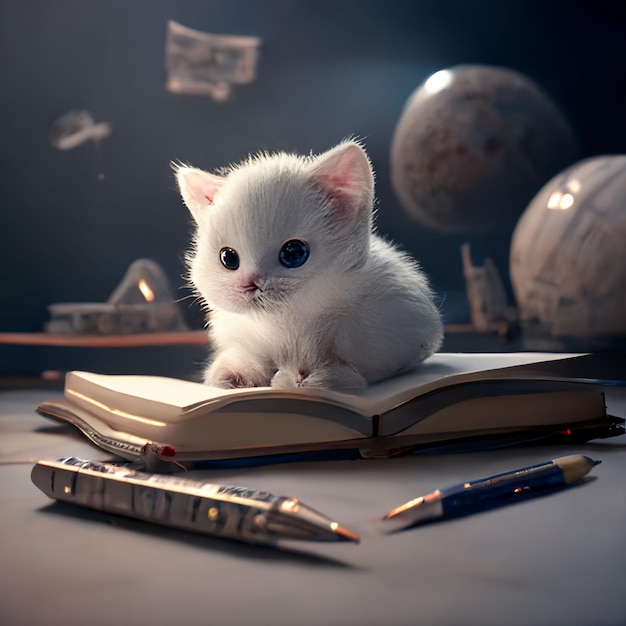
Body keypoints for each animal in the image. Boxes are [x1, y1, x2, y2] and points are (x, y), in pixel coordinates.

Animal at [173, 140, 442, 386]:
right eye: (228, 258)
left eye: (294, 253)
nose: (249, 284)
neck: (288, 321)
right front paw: (231, 376)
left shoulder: (402, 321)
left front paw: (326, 378)